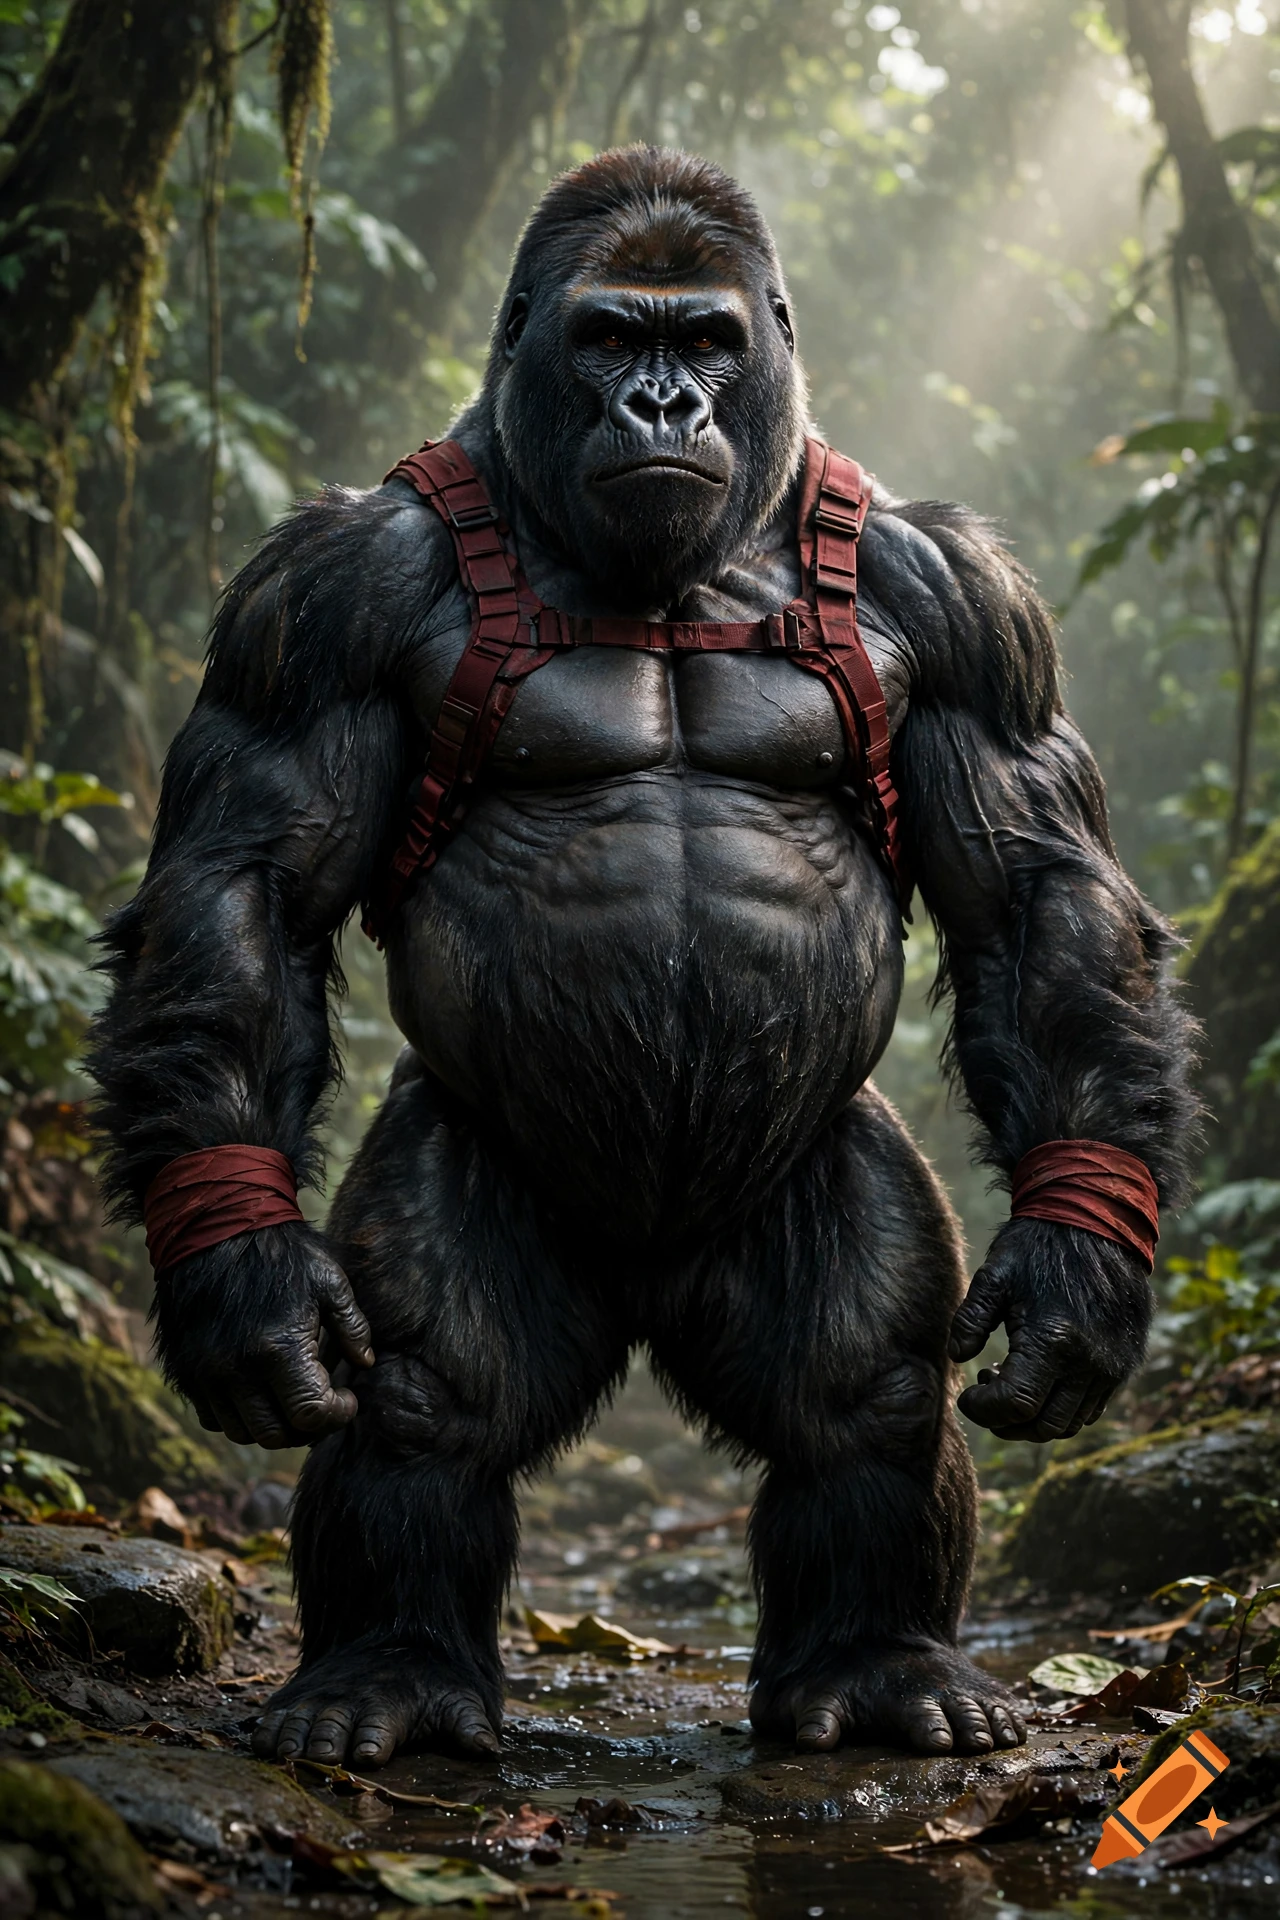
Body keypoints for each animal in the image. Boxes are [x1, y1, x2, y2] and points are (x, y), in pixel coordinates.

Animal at [89, 147, 1196, 1769]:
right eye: (611, 336)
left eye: (709, 342)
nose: (663, 403)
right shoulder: (324, 589)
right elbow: (250, 888)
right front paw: (242, 1290)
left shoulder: (964, 596)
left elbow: (1037, 898)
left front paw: (1075, 1277)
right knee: (433, 1391)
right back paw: (392, 1673)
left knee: (859, 1387)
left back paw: (876, 1665)